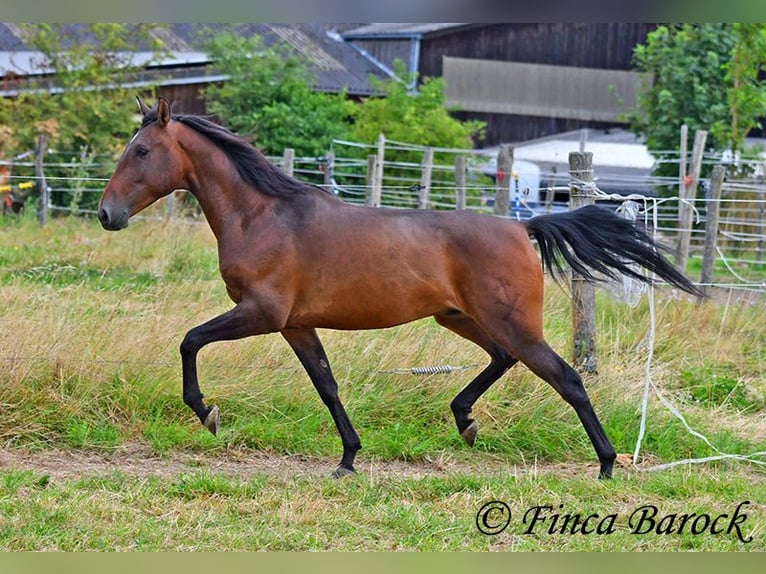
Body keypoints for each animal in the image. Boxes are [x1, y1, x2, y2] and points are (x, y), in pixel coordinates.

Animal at [99, 99, 704, 482]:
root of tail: (523, 227)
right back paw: (464, 420)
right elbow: (327, 386)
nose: (108, 215)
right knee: (504, 359)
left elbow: (190, 340)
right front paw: (348, 458)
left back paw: (606, 464)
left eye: (142, 152)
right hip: (460, 318)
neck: (264, 216)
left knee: (567, 377)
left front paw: (206, 412)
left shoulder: (261, 313)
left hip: (510, 321)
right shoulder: (296, 325)